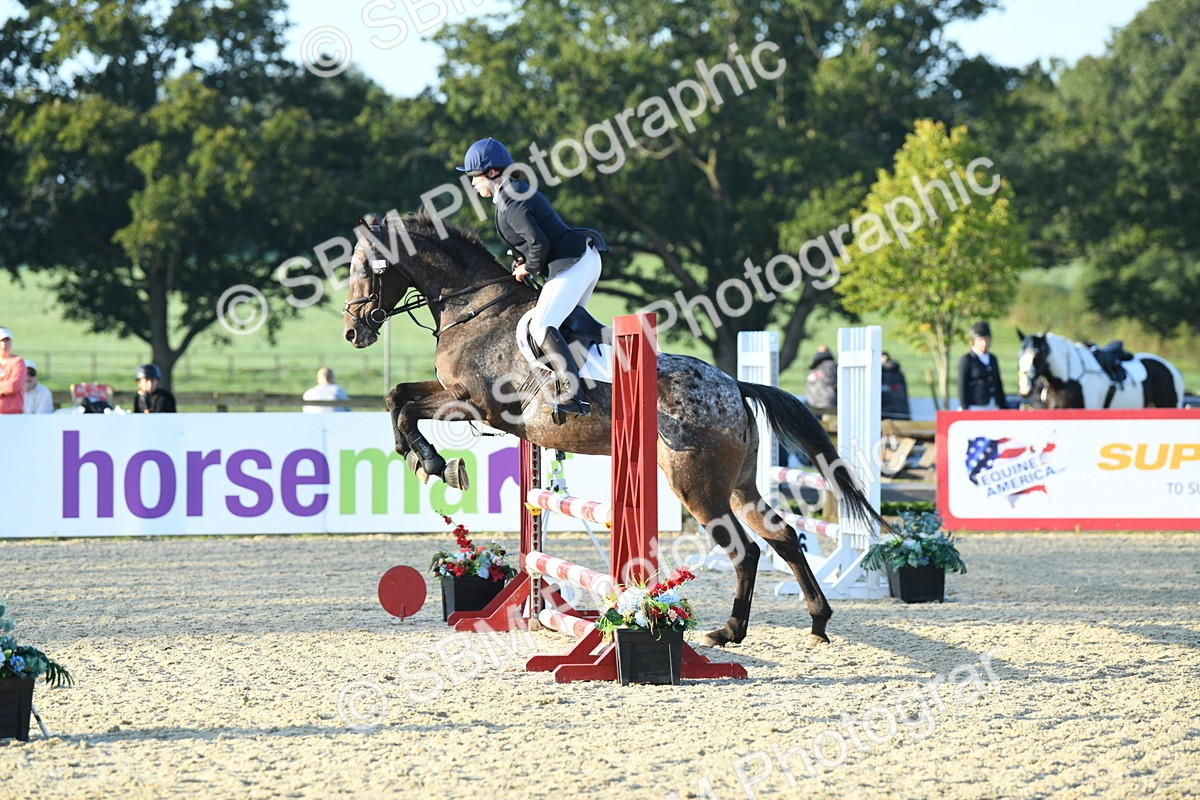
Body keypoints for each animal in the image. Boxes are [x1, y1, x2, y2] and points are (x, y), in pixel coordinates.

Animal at [341, 210, 890, 648]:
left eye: (366, 268)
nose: (353, 331)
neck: (474, 309)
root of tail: (733, 384)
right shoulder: (454, 395)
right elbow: (397, 398)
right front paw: (425, 459)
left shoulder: (475, 403)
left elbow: (407, 407)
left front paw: (434, 462)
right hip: (738, 484)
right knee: (784, 537)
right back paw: (816, 621)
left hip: (697, 487)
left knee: (748, 549)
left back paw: (729, 631)